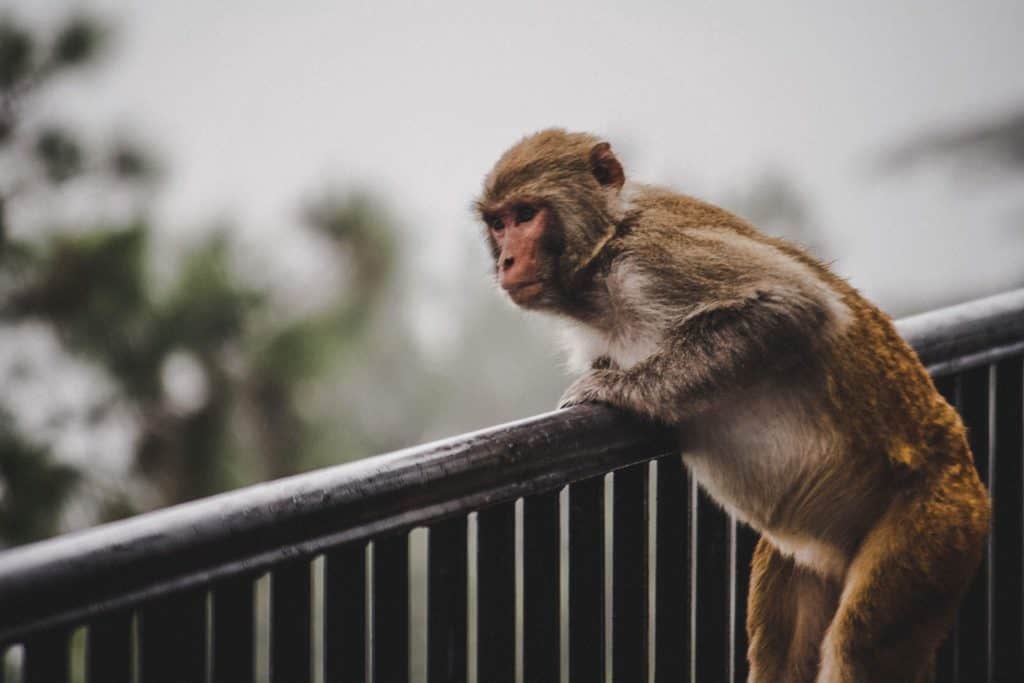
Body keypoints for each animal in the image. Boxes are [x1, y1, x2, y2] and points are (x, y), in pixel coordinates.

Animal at [477, 129, 991, 683]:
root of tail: (966, 473)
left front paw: (619, 389)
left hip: (933, 529)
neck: (601, 260)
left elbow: (793, 305)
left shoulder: (651, 261)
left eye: (526, 214)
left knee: (858, 646)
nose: (505, 262)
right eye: (498, 223)